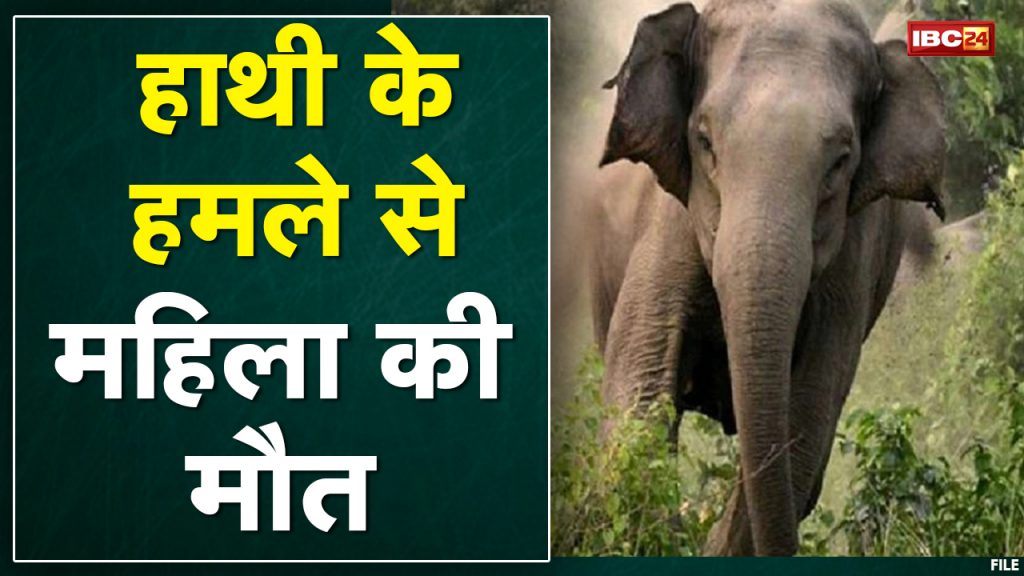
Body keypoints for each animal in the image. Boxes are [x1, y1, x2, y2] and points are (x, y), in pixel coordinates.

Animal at [591, 0, 945, 556]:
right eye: (705, 141)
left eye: (841, 161)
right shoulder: (668, 223)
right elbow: (639, 391)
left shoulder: (852, 262)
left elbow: (806, 423)